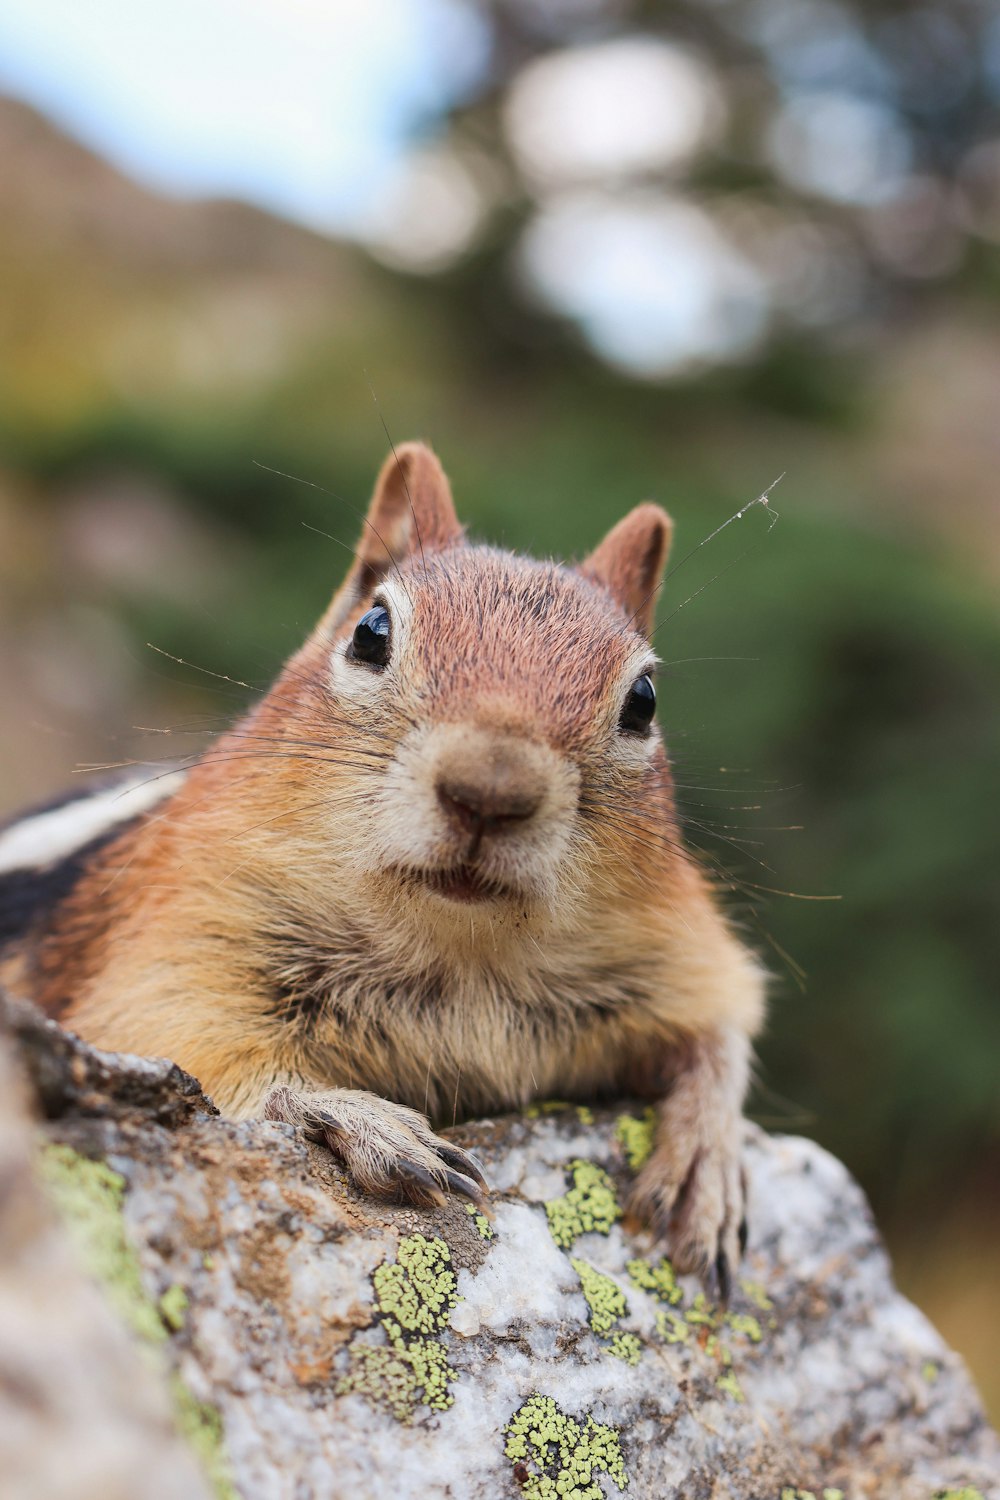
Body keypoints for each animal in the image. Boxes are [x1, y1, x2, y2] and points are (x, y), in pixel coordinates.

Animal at [1, 441, 767, 1302]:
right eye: (371, 631)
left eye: (644, 698)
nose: (490, 789)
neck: (462, 959)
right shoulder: (169, 948)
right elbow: (200, 1057)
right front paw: (360, 1119)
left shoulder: (677, 950)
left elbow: (723, 1026)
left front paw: (710, 1155)